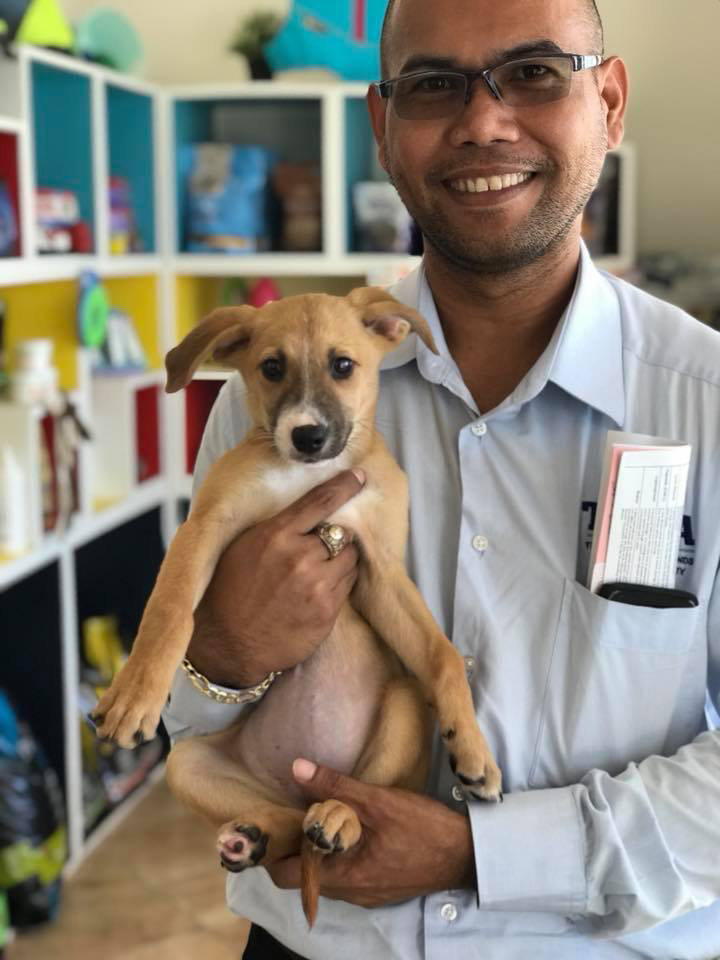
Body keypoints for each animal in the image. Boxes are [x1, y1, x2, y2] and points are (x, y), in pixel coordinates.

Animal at [91, 288, 500, 928]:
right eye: (271, 367)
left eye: (343, 365)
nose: (305, 435)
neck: (309, 476)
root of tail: (297, 792)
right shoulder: (204, 530)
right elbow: (170, 610)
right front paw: (135, 694)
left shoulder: (379, 569)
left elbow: (440, 653)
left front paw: (474, 749)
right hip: (190, 766)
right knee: (285, 826)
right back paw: (252, 838)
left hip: (404, 707)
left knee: (360, 797)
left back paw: (338, 819)